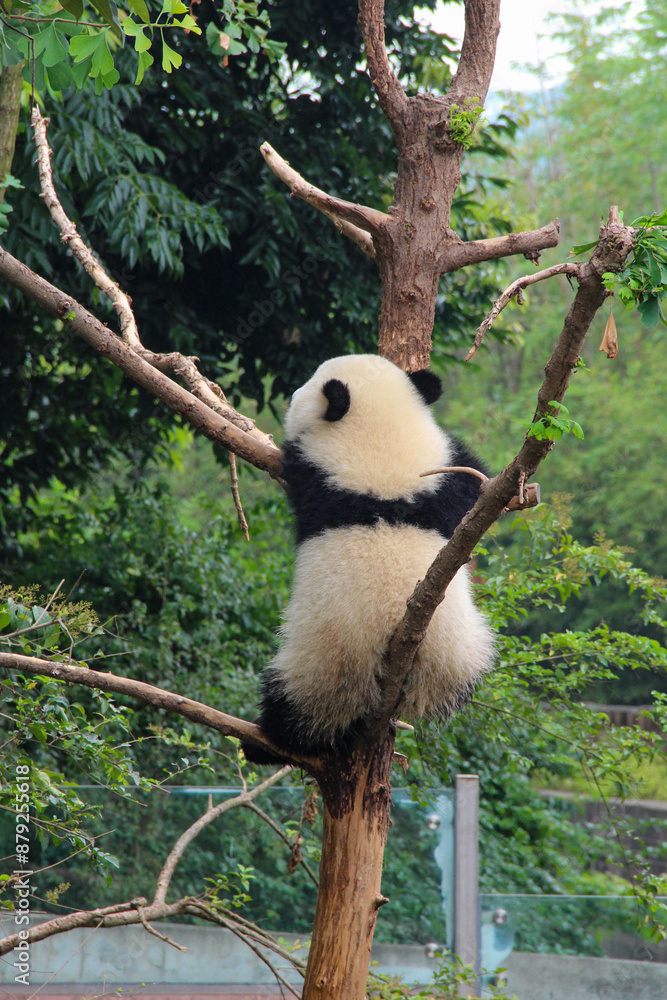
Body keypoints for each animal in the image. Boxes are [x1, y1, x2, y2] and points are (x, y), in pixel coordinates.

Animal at [242, 354, 495, 765]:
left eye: (306, 385)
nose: (291, 395)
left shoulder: (316, 471)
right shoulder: (449, 474)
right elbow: (478, 483)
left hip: (328, 661)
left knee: (299, 705)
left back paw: (268, 742)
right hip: (462, 651)